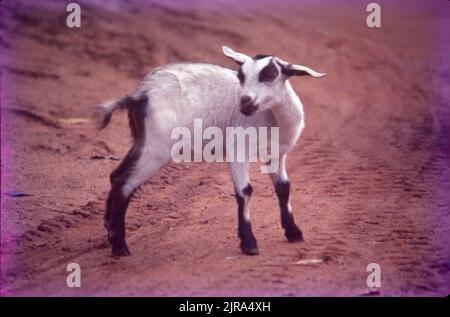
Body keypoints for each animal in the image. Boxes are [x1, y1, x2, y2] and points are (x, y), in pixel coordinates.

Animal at [96, 46, 326, 254]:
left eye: (270, 75)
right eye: (241, 76)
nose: (245, 102)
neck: (273, 119)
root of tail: (139, 96)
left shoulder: (277, 154)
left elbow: (283, 188)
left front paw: (294, 232)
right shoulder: (239, 148)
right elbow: (245, 191)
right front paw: (249, 243)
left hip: (141, 140)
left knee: (115, 175)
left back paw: (109, 230)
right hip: (157, 147)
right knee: (124, 183)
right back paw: (120, 246)